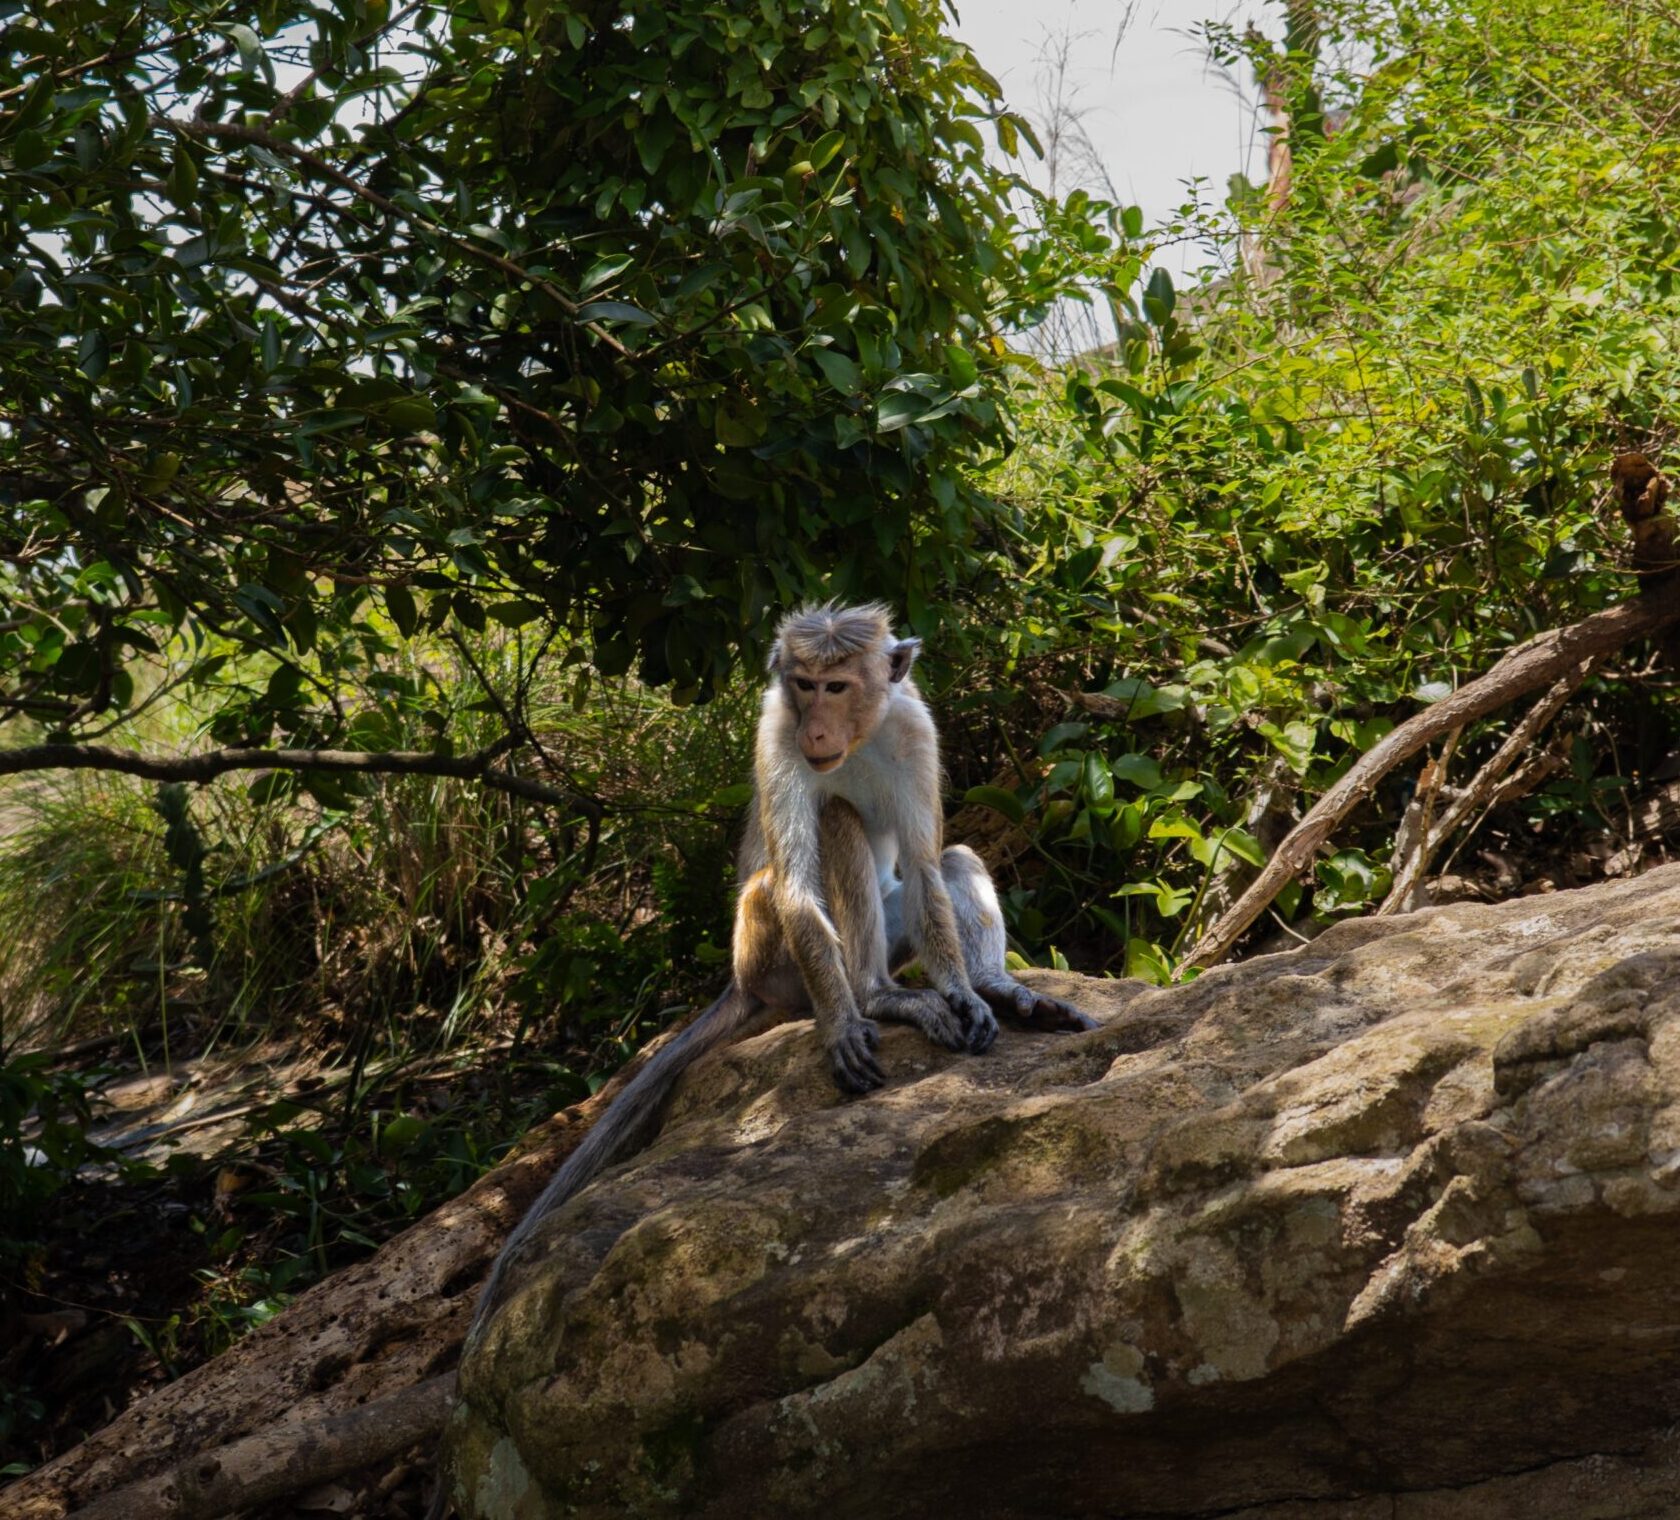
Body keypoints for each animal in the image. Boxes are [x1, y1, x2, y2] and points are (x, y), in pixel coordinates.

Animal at [461, 602, 1094, 1348]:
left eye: (838, 686)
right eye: (803, 684)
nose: (814, 726)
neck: (858, 739)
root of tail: (741, 981)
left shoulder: (916, 728)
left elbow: (925, 863)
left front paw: (967, 992)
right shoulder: (774, 731)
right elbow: (799, 879)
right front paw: (848, 1024)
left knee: (952, 857)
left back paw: (995, 988)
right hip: (764, 941)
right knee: (834, 821)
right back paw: (878, 998)